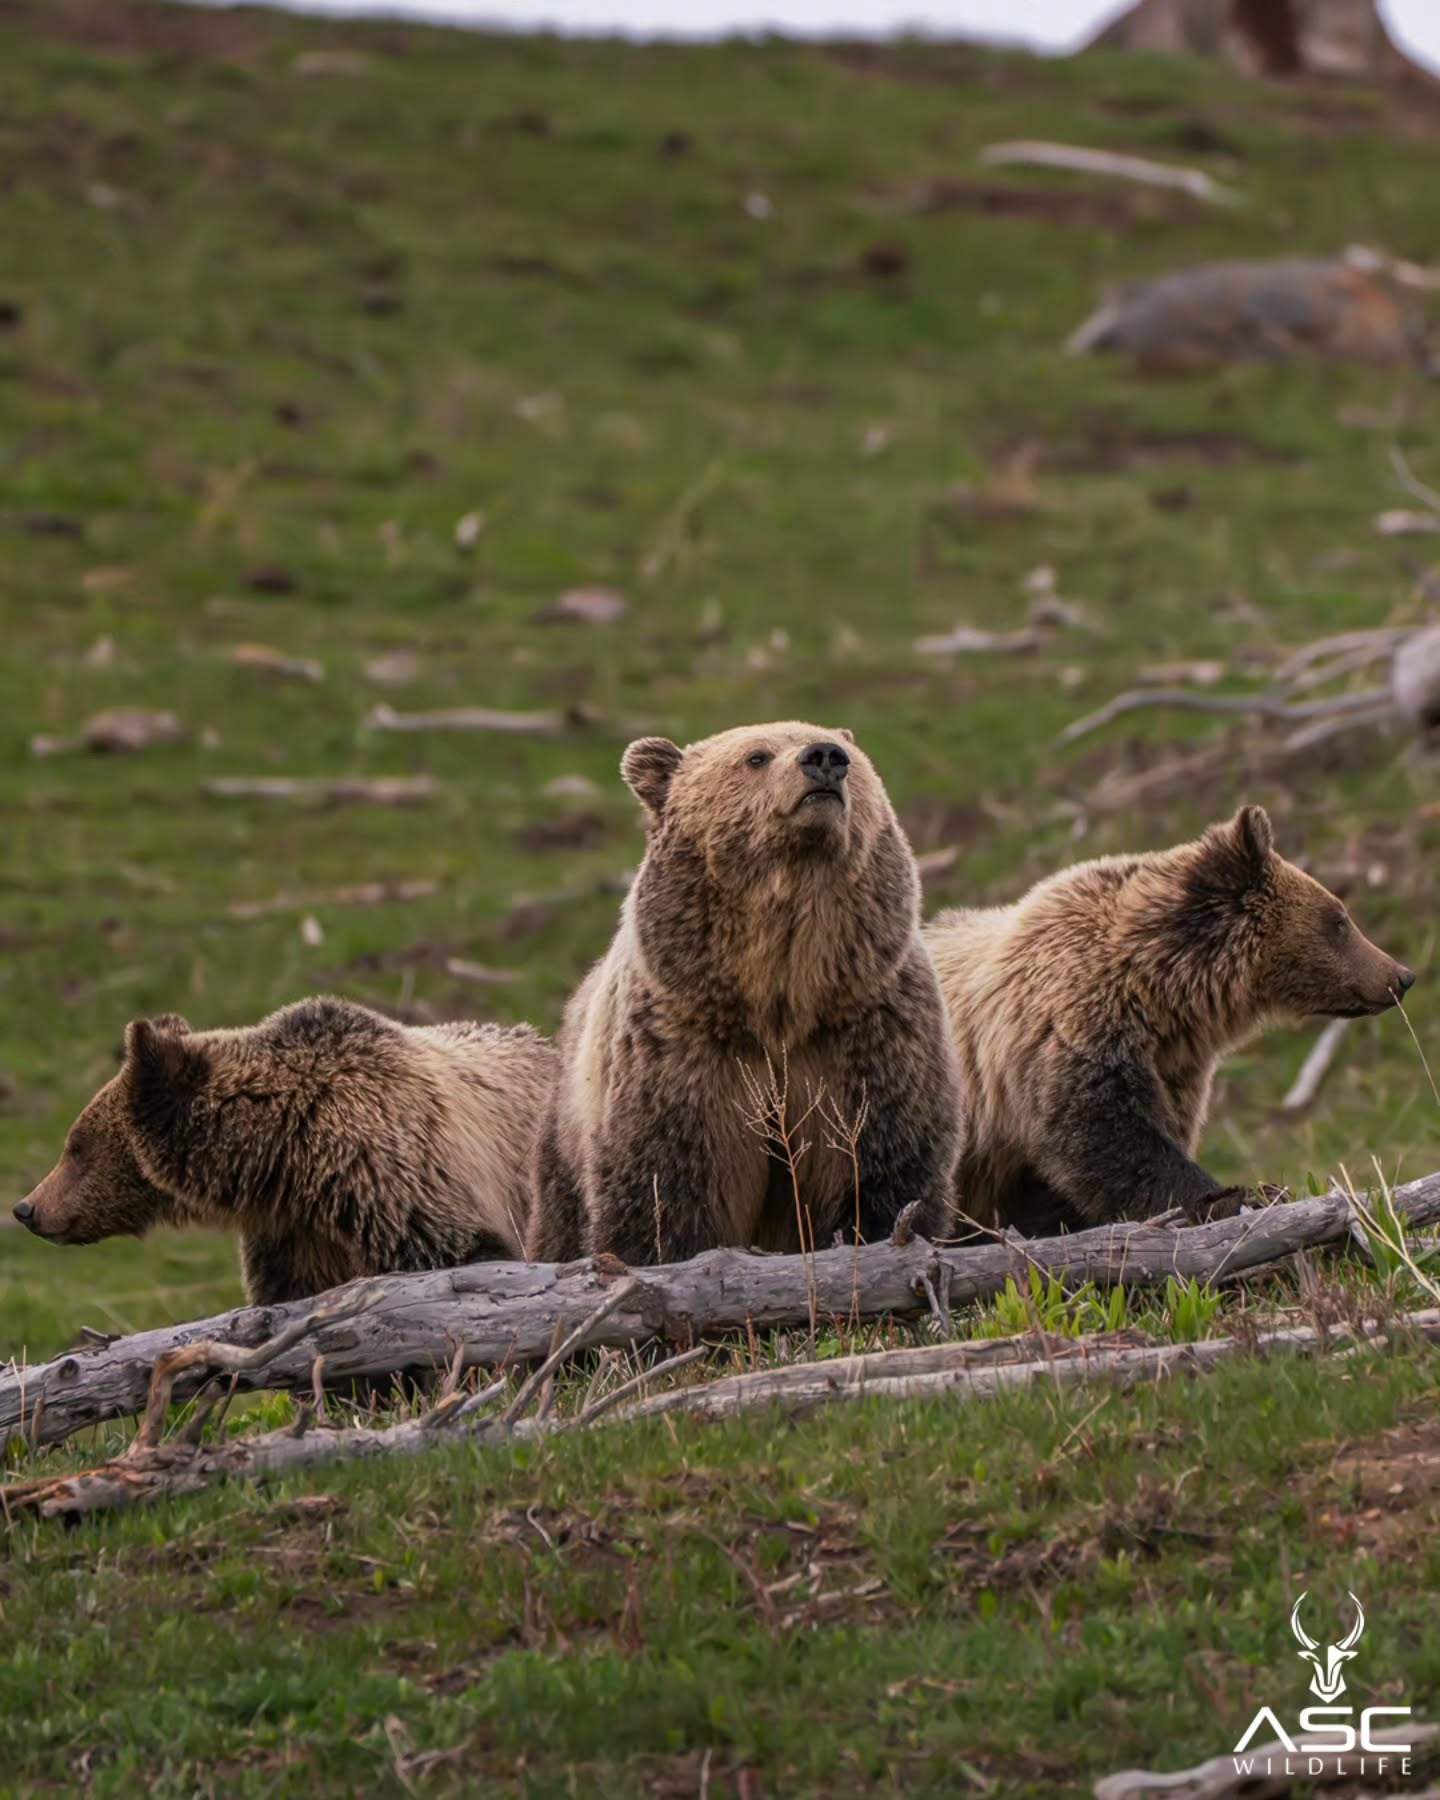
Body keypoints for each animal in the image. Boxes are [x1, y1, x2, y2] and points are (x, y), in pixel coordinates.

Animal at [526, 721, 964, 1265]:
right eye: (756, 757)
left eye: (855, 761)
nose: (825, 757)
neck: (778, 995)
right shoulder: (683, 1052)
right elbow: (664, 1192)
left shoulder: (866, 1034)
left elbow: (882, 1170)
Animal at [922, 805, 1416, 1236]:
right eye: (1339, 919)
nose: (1401, 976)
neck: (1156, 993)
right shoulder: (1069, 1036)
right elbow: (1115, 1142)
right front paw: (1234, 1196)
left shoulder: (1174, 1066)